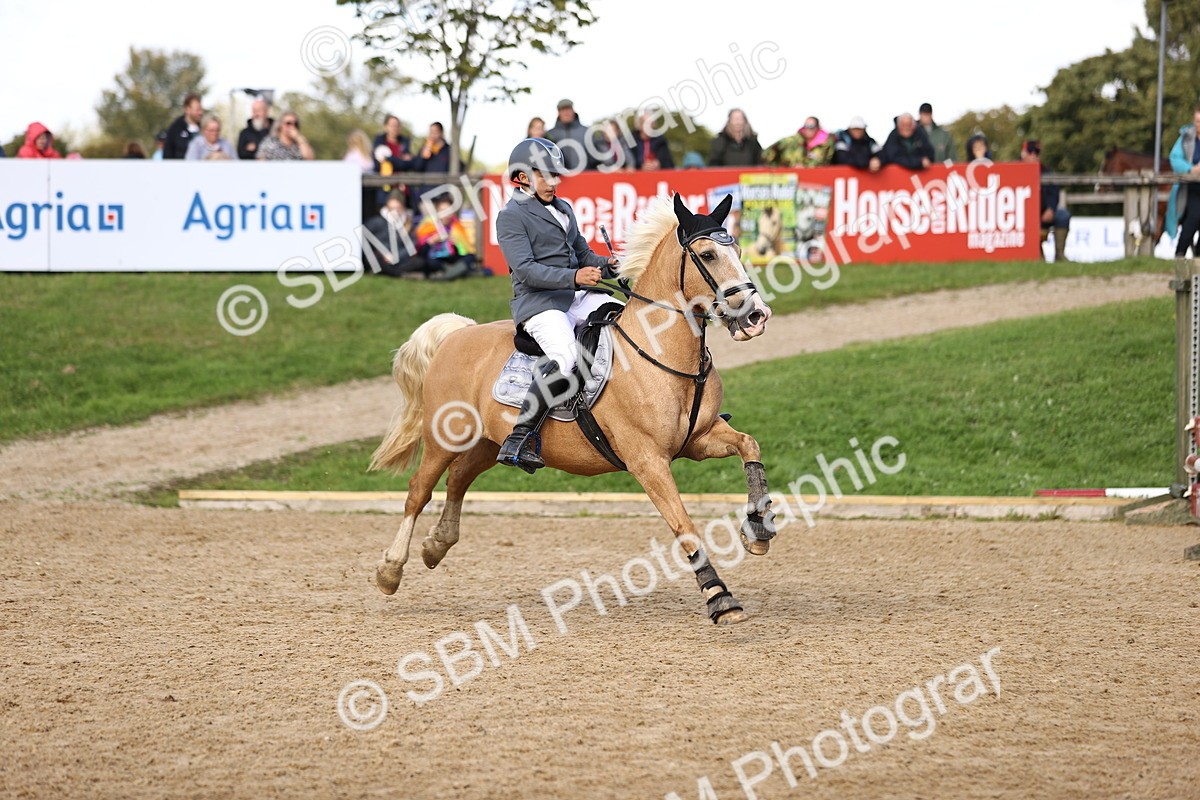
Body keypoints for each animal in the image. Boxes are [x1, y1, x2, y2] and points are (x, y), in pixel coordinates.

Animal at [368, 193, 775, 625]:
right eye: (709, 254)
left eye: (740, 250)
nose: (756, 316)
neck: (662, 353)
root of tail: (459, 333)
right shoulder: (647, 461)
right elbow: (683, 523)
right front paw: (719, 596)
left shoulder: (699, 439)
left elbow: (749, 445)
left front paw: (758, 531)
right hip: (444, 439)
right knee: (419, 491)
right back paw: (390, 570)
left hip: (487, 443)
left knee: (458, 480)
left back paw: (436, 545)